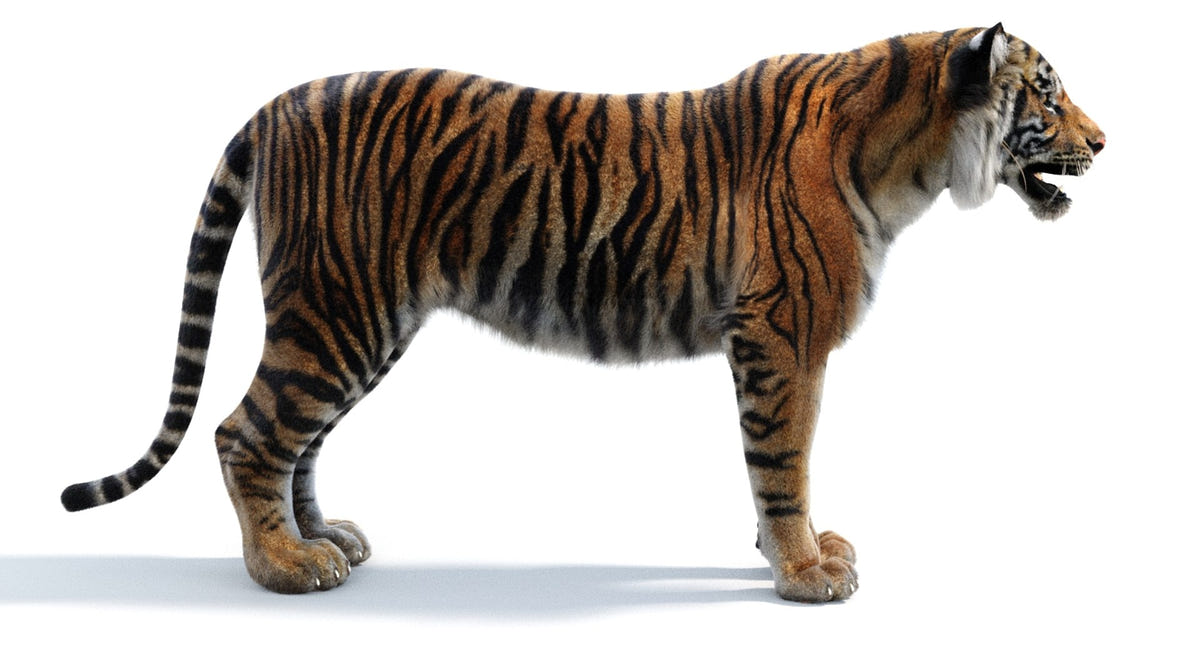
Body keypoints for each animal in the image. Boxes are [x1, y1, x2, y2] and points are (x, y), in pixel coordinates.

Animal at [61, 23, 1104, 602]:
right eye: (1048, 95)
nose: (1105, 140)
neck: (913, 161)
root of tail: (278, 103)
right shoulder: (781, 336)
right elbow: (784, 461)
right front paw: (805, 570)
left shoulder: (776, 342)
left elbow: (779, 463)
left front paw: (797, 552)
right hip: (338, 310)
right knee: (246, 432)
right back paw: (282, 566)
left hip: (361, 320)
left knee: (299, 439)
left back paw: (324, 540)